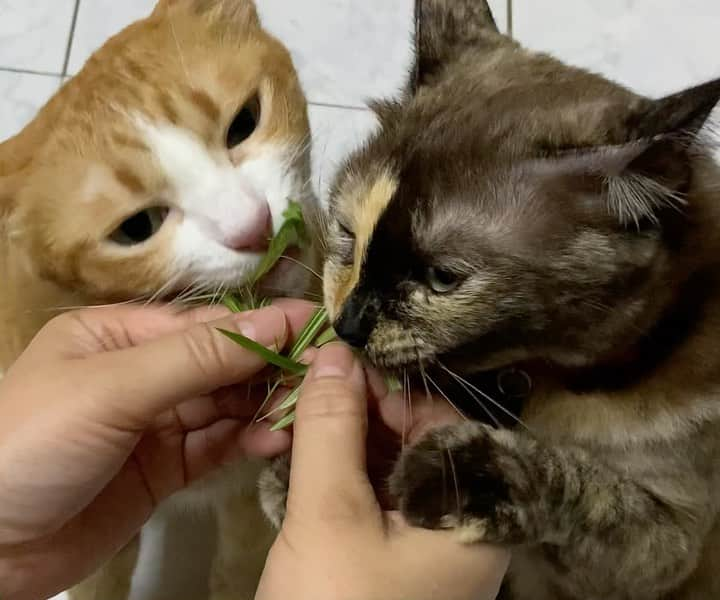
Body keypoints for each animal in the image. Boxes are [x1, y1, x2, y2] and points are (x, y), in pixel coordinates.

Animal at [0, 1, 318, 600]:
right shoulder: (99, 534)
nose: (255, 227)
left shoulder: (247, 505)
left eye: (244, 122)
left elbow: (239, 572)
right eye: (137, 228)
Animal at [314, 1, 720, 600]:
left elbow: (586, 488)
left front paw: (456, 476)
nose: (347, 326)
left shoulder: (669, 543)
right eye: (347, 233)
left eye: (442, 279)